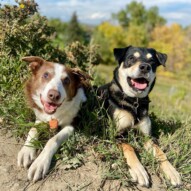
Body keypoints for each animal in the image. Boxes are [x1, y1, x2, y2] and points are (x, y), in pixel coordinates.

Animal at [97, 46, 181, 187]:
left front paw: (171, 171)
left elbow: (160, 152)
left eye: (152, 61)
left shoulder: (147, 136)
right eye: (131, 58)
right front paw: (138, 170)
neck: (133, 101)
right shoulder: (117, 133)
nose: (145, 67)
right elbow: (129, 146)